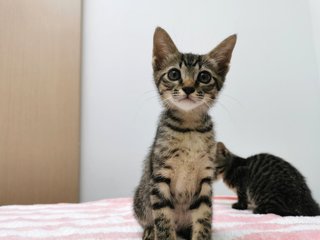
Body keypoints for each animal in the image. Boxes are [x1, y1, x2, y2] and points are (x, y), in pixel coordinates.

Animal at [132, 26, 235, 240]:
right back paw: (149, 230)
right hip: (141, 199)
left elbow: (203, 218)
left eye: (204, 77)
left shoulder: (205, 180)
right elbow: (163, 221)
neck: (190, 129)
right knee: (148, 219)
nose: (188, 88)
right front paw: (161, 232)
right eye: (173, 74)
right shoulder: (160, 178)